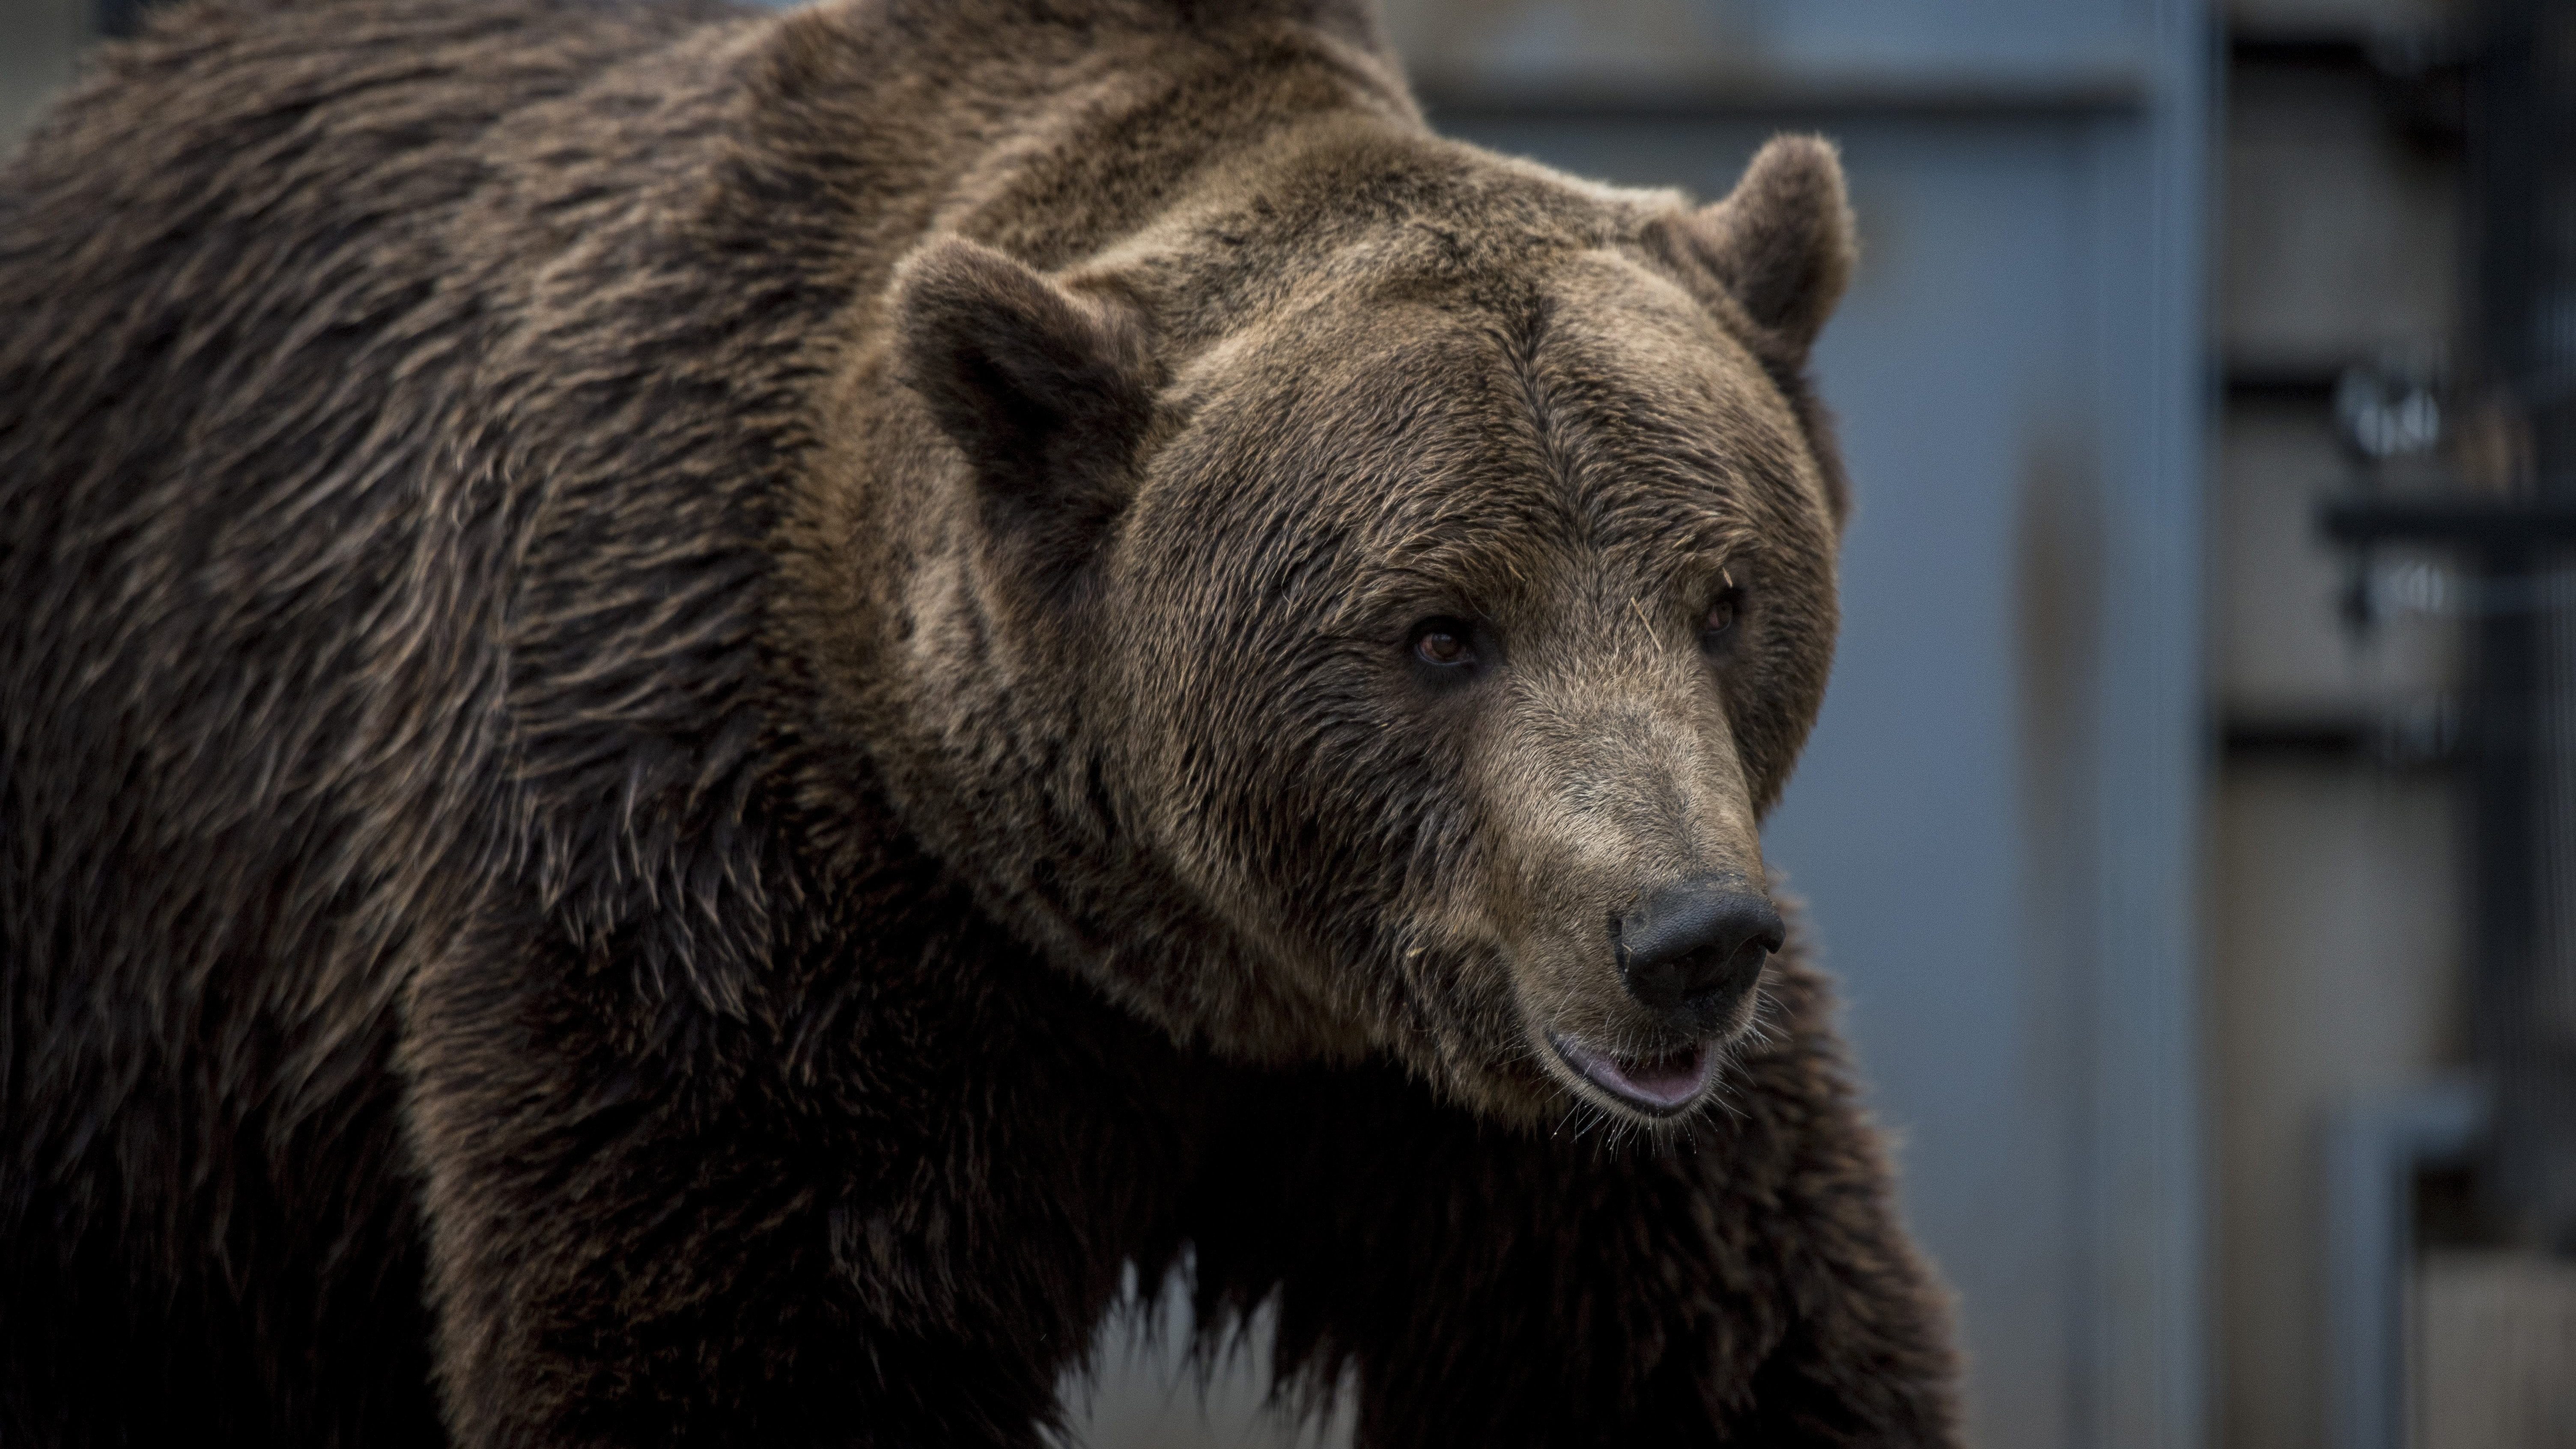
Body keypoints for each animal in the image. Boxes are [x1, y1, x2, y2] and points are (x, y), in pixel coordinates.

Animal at [0, 0, 1958, 1433]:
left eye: (1724, 593)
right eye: (1438, 629)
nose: (1682, 943)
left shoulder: (1504, 1113)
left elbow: (1716, 1335)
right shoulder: (723, 900)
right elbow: (725, 1327)